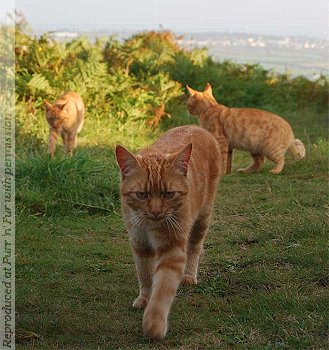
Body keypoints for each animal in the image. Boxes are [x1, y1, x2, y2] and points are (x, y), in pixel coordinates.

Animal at [114, 125, 220, 340]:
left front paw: (154, 323)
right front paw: (145, 298)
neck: (149, 226)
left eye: (168, 194)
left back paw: (189, 275)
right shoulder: (139, 244)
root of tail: (197, 127)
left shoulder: (172, 250)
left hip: (202, 219)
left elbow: (163, 288)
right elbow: (145, 274)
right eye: (142, 194)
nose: (156, 211)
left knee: (195, 248)